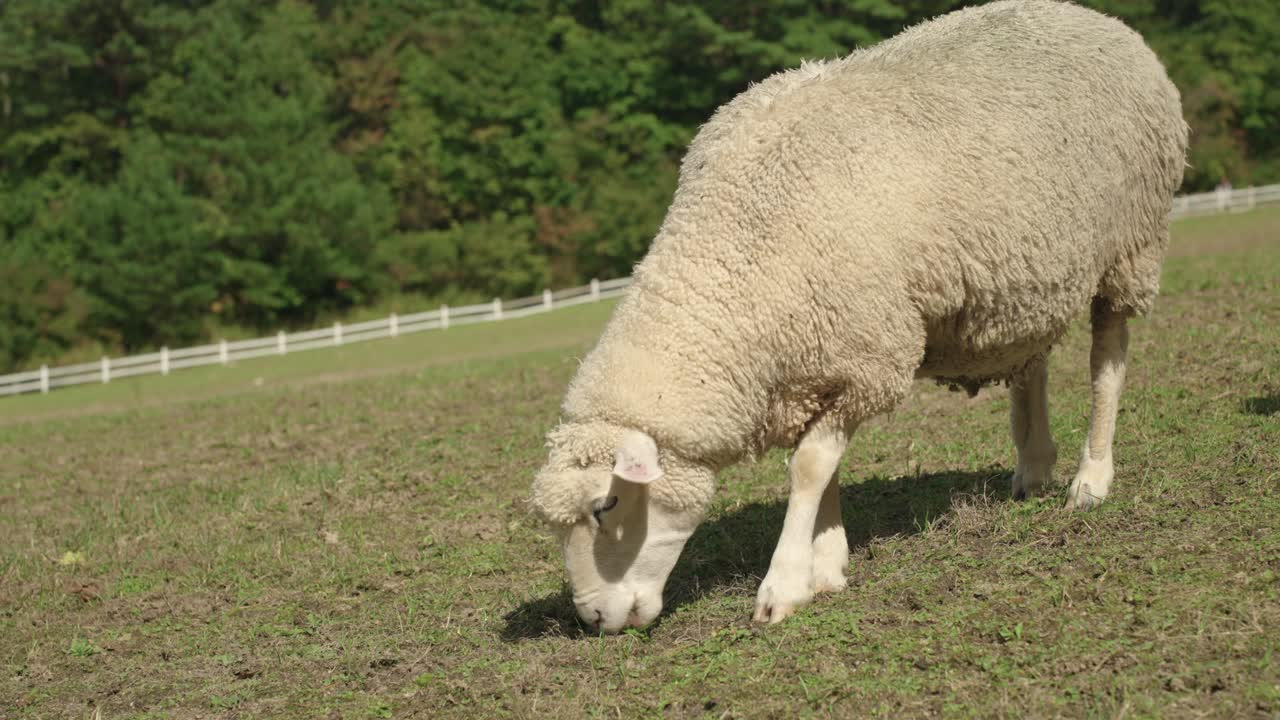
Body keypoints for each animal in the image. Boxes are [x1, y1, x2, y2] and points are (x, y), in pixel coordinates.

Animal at [530, 0, 1188, 633]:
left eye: (605, 506)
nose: (594, 621)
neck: (741, 252)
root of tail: (1103, 20)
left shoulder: (868, 357)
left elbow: (809, 467)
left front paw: (784, 586)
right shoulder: (818, 359)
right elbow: (823, 469)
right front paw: (826, 564)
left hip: (1130, 244)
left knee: (1107, 363)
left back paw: (1091, 479)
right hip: (1027, 274)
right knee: (1032, 359)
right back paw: (1033, 467)